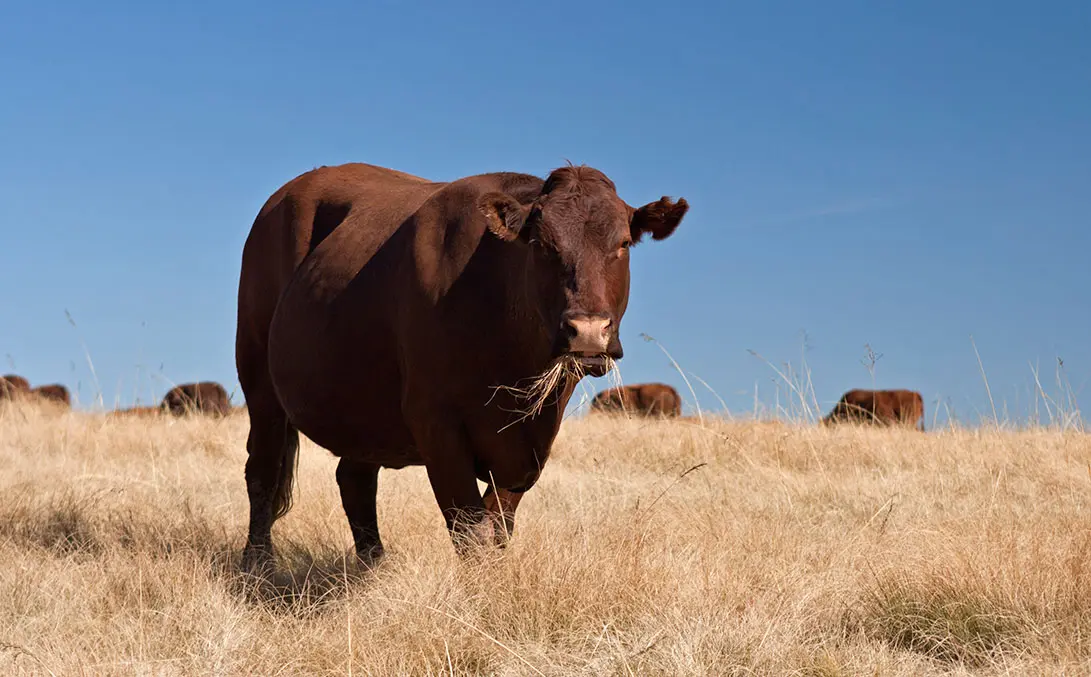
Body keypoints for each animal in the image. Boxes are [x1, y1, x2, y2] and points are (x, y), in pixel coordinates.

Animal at [235, 161, 687, 571]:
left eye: (624, 243)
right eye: (541, 244)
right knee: (262, 472)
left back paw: (374, 569)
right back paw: (258, 566)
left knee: (355, 480)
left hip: (365, 408)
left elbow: (499, 523)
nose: (588, 331)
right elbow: (469, 528)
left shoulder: (534, 439)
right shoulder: (437, 425)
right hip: (260, 382)